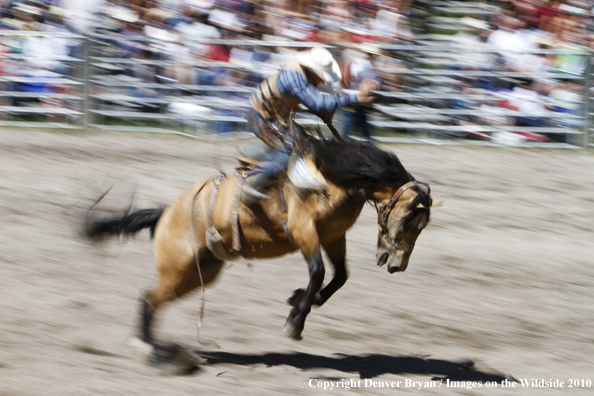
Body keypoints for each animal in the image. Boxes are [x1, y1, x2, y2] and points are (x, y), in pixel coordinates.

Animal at [84, 139, 430, 358]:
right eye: (409, 221)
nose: (396, 264)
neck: (332, 181)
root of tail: (167, 211)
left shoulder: (333, 237)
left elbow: (340, 276)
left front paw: (298, 300)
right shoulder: (303, 230)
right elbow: (318, 271)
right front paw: (295, 322)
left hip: (198, 273)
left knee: (153, 300)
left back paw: (151, 347)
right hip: (178, 267)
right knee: (148, 299)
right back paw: (146, 349)